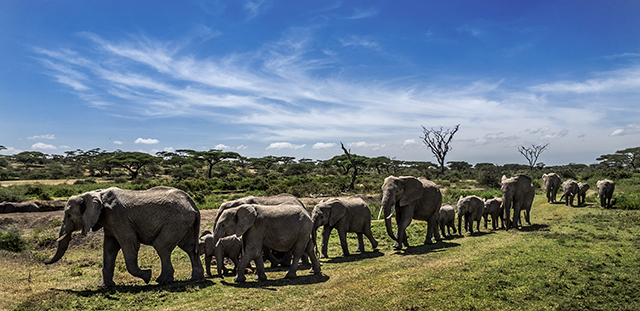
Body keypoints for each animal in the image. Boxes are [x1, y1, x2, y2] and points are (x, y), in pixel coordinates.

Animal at [44, 188, 204, 288]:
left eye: (69, 215)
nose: (45, 262)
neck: (96, 193)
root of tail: (193, 205)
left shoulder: (117, 217)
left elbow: (130, 243)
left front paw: (147, 276)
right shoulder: (109, 221)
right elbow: (109, 248)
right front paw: (104, 286)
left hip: (176, 222)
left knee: (161, 246)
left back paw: (162, 281)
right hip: (185, 223)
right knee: (190, 248)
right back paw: (194, 278)